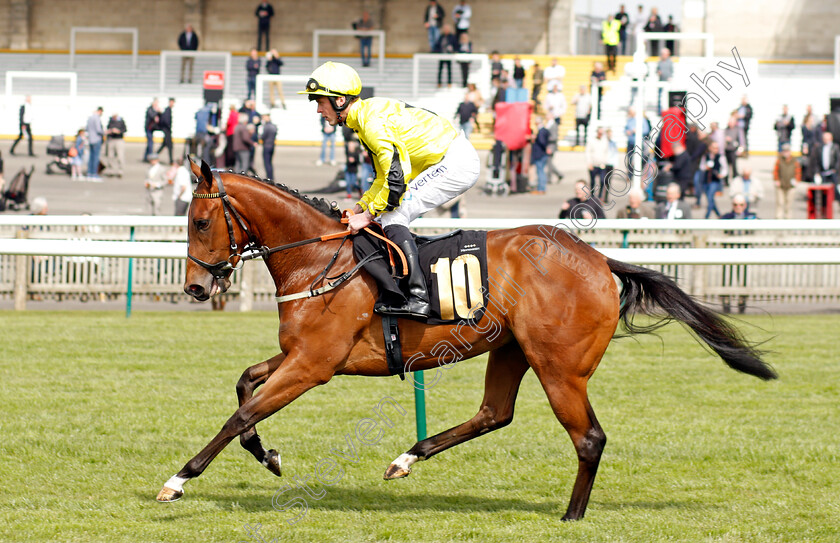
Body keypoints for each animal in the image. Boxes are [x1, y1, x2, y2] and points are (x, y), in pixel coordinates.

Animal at [156, 158, 776, 524]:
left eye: (200, 222)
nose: (195, 287)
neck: (316, 258)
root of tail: (601, 260)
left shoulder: (313, 365)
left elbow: (241, 413)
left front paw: (177, 481)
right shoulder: (299, 357)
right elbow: (245, 387)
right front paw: (269, 456)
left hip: (560, 368)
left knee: (589, 438)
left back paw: (571, 517)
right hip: (511, 352)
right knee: (494, 413)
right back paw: (406, 458)